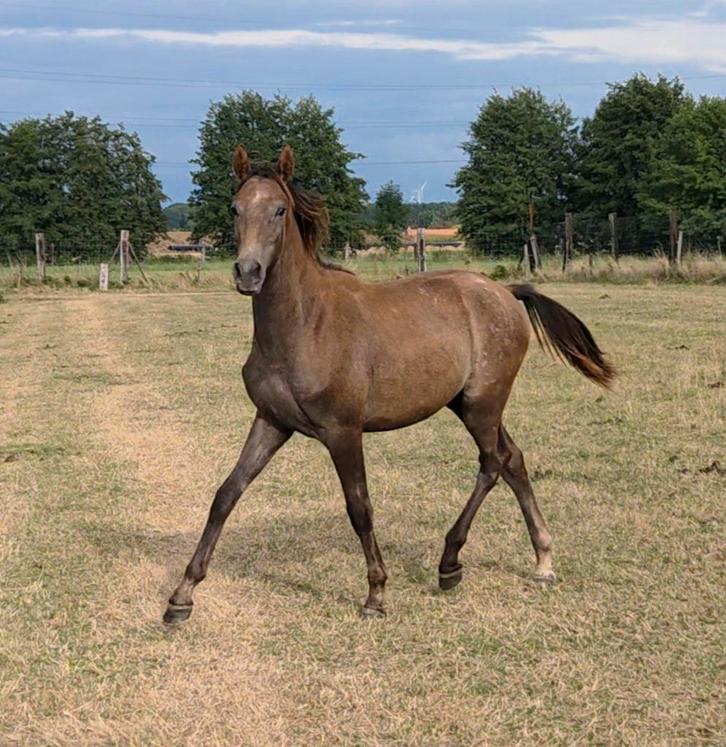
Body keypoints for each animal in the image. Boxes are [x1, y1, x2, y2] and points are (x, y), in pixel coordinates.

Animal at [163, 145, 615, 624]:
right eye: (235, 207)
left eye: (279, 210)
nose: (248, 272)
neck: (304, 325)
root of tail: (506, 292)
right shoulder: (271, 421)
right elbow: (226, 494)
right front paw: (182, 596)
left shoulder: (343, 431)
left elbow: (359, 507)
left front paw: (376, 594)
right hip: (468, 405)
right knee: (514, 460)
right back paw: (542, 560)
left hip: (483, 404)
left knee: (493, 463)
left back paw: (450, 563)